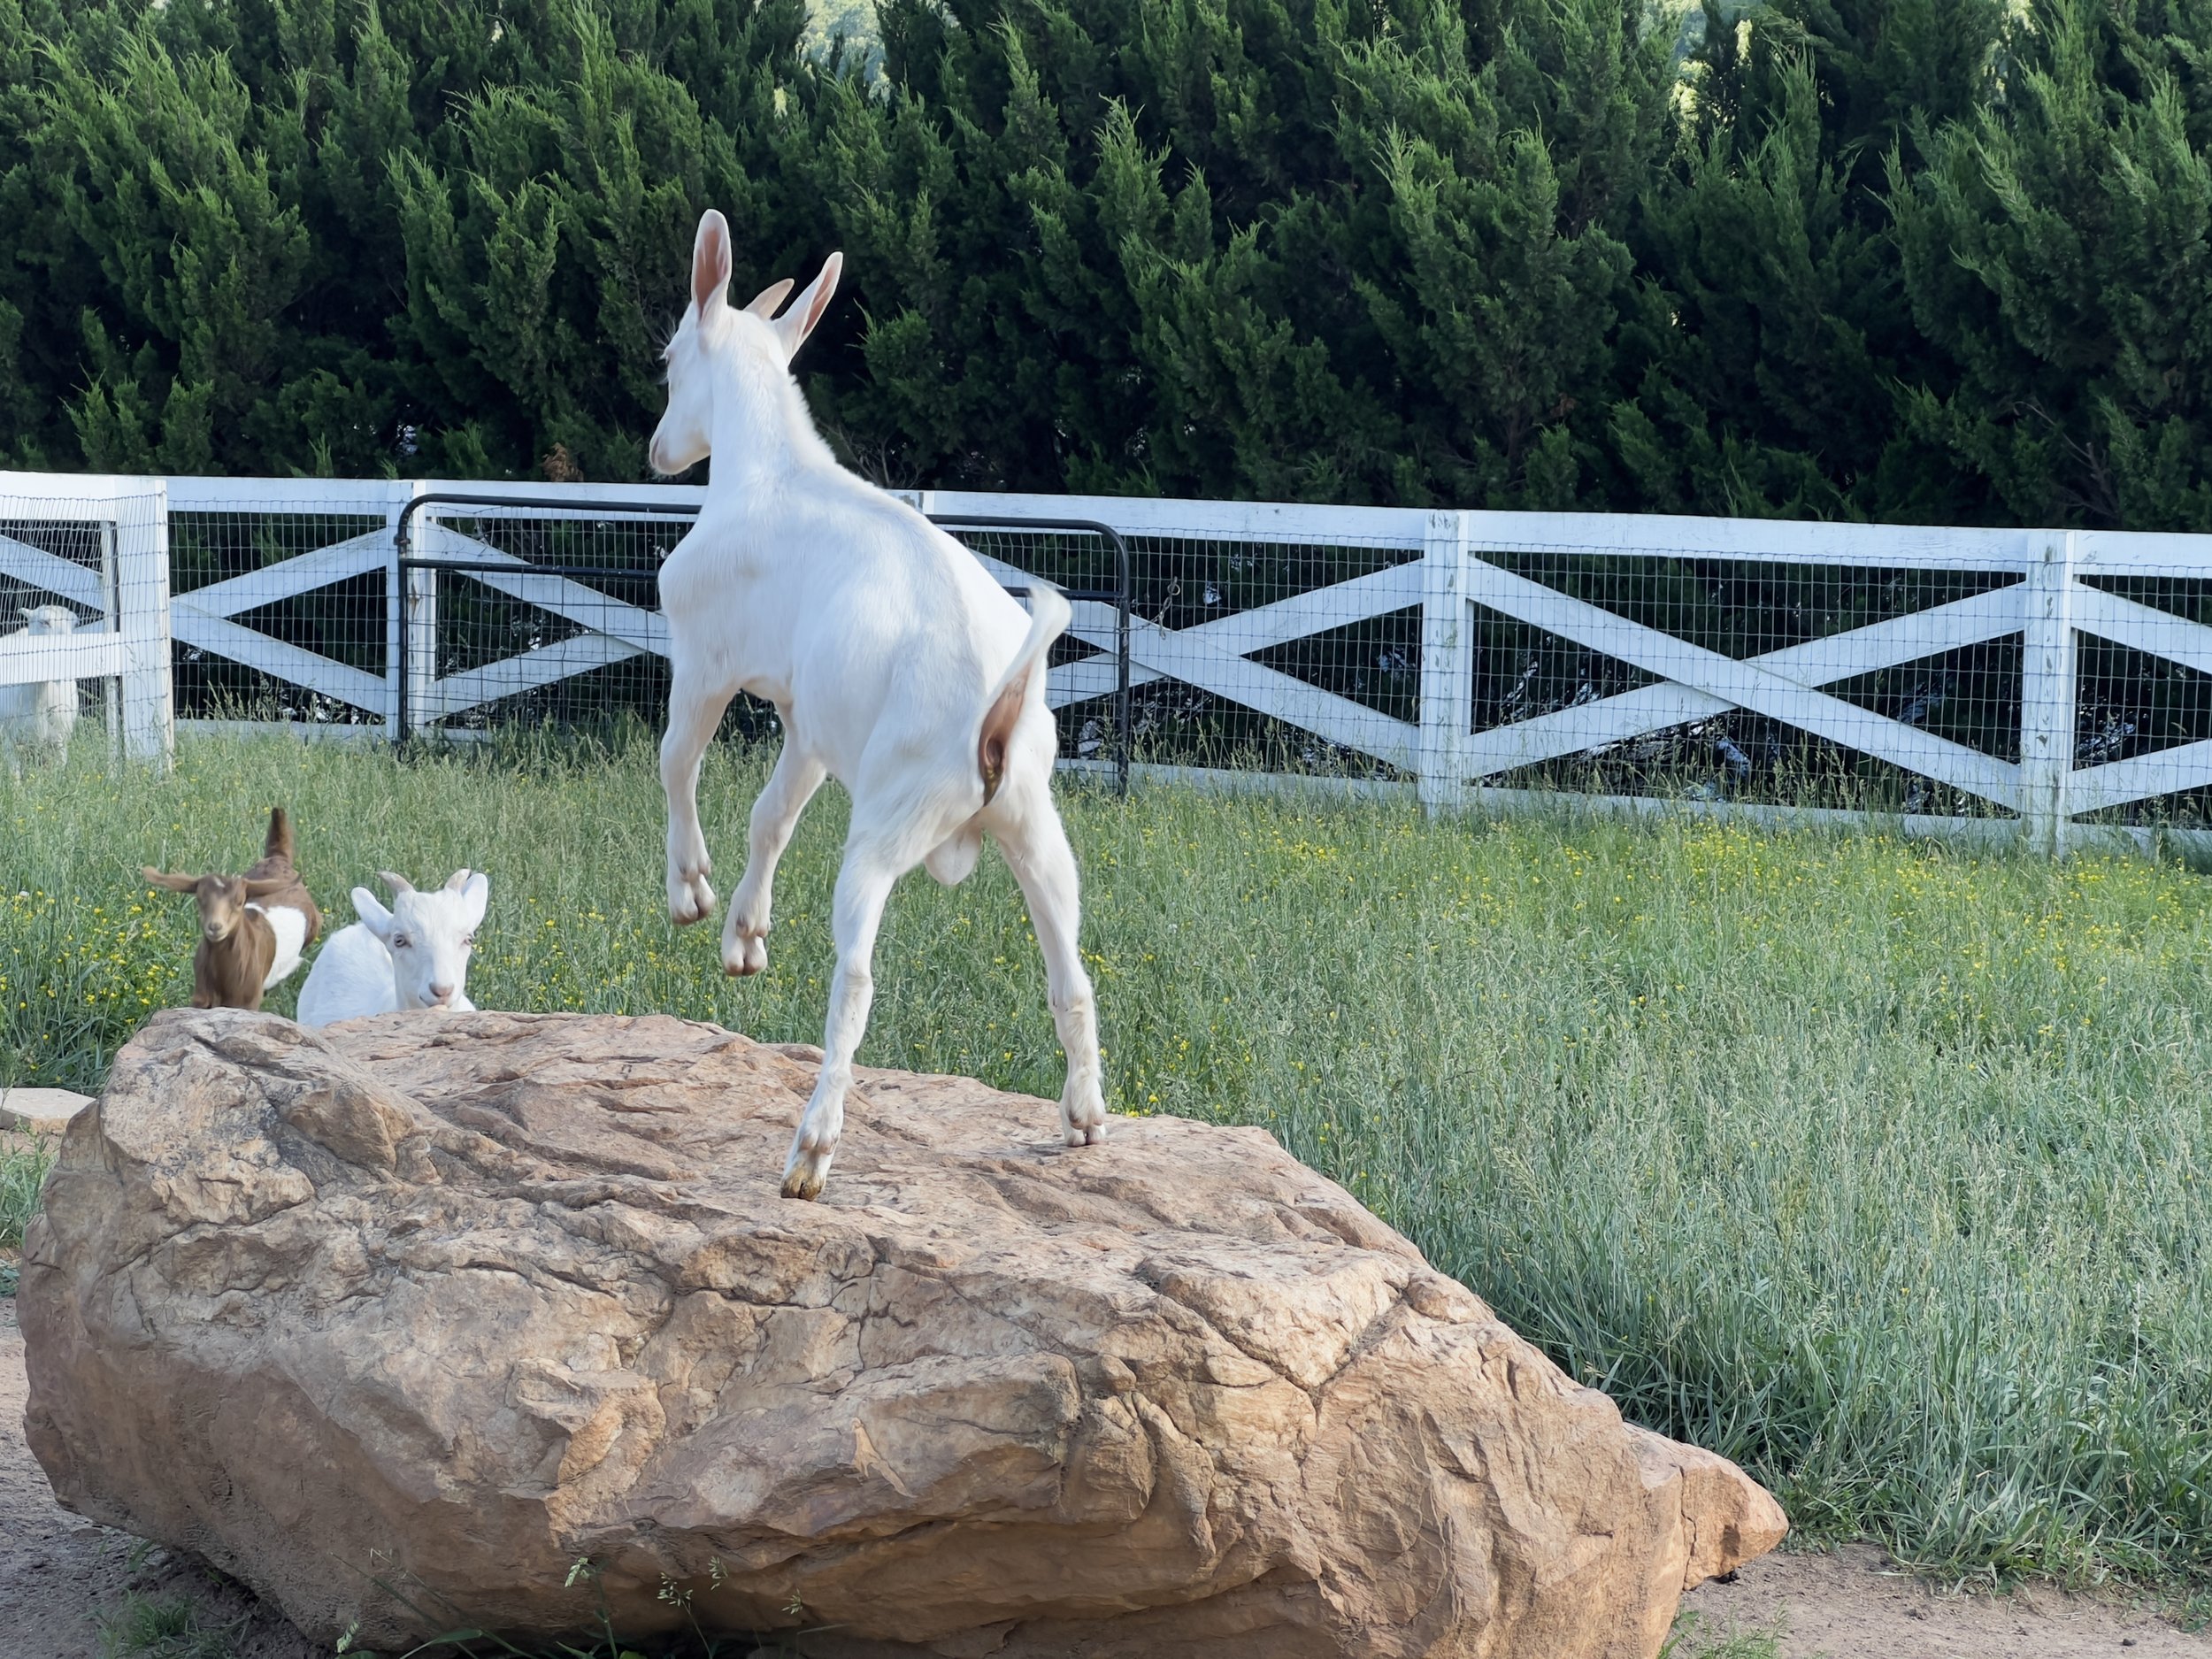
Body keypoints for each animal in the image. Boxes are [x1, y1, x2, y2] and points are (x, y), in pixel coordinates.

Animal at [144, 808, 322, 1012]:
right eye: (199, 899)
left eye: (239, 902)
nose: (215, 927)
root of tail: (277, 858)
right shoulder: (201, 997)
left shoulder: (247, 1002)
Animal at [650, 209, 1107, 1201]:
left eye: (668, 359)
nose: (659, 452)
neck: (770, 472)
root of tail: (998, 705)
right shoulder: (808, 723)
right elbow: (771, 815)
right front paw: (744, 937)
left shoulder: (704, 659)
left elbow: (676, 763)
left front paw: (691, 893)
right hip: (1037, 824)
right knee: (1071, 969)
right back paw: (1085, 1119)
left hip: (887, 827)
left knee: (856, 979)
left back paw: (811, 1153)